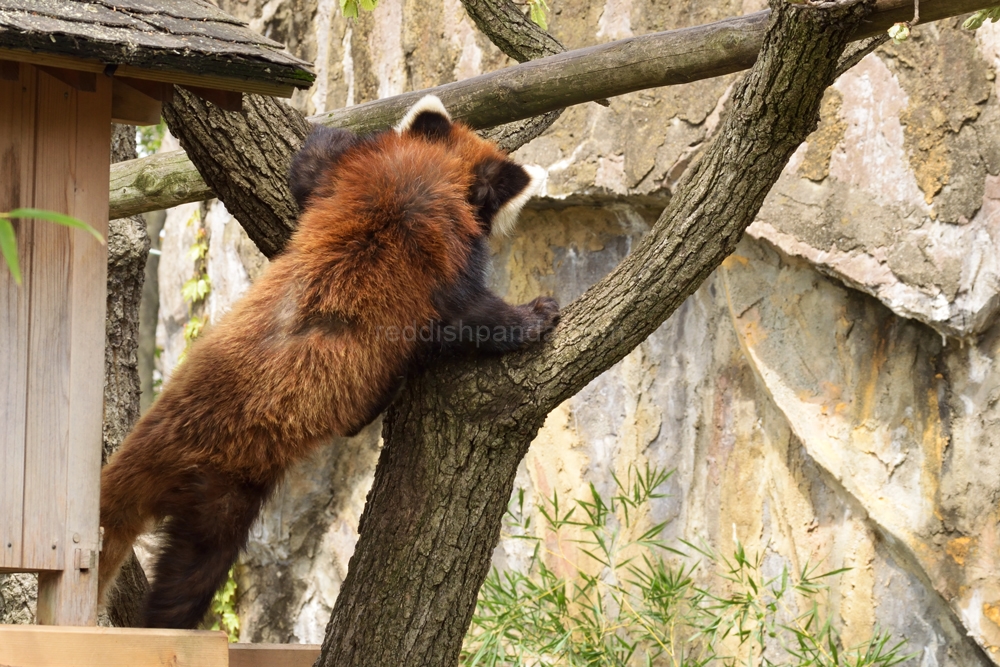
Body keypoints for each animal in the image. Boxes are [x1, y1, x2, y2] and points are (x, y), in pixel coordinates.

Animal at [99, 96, 564, 628]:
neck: (430, 174)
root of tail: (153, 442)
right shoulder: (443, 261)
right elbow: (468, 316)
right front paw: (534, 315)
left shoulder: (346, 179)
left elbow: (309, 164)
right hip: (221, 486)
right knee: (199, 565)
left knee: (181, 573)